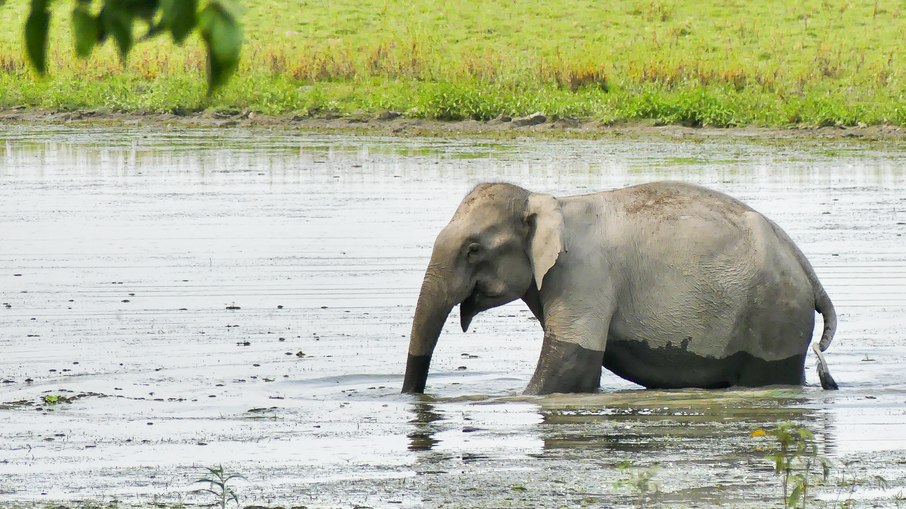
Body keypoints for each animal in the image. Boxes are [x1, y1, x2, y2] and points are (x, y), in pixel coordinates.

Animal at [401, 181, 838, 395]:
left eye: (474, 249)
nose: (414, 397)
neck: (547, 201)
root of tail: (806, 267)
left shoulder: (583, 275)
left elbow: (569, 365)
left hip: (774, 318)